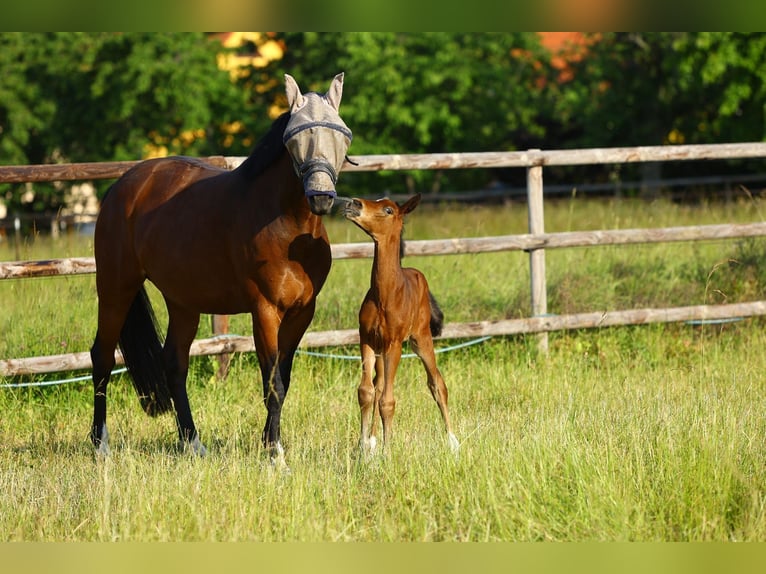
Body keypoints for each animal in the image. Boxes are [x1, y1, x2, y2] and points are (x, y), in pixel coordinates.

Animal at [89, 73, 352, 467]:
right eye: (294, 137)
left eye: (342, 133)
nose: (321, 197)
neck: (288, 227)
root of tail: (122, 186)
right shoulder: (265, 311)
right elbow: (272, 384)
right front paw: (275, 455)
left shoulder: (302, 313)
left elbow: (283, 380)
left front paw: (270, 443)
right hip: (115, 287)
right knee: (102, 357)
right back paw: (100, 444)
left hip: (182, 302)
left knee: (174, 364)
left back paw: (192, 443)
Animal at [342, 194, 459, 455]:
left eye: (388, 210)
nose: (353, 203)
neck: (385, 294)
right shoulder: (366, 339)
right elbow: (366, 392)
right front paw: (363, 448)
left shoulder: (394, 344)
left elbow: (388, 400)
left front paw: (387, 454)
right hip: (381, 349)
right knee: (379, 384)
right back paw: (373, 440)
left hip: (420, 338)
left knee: (437, 383)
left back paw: (452, 440)